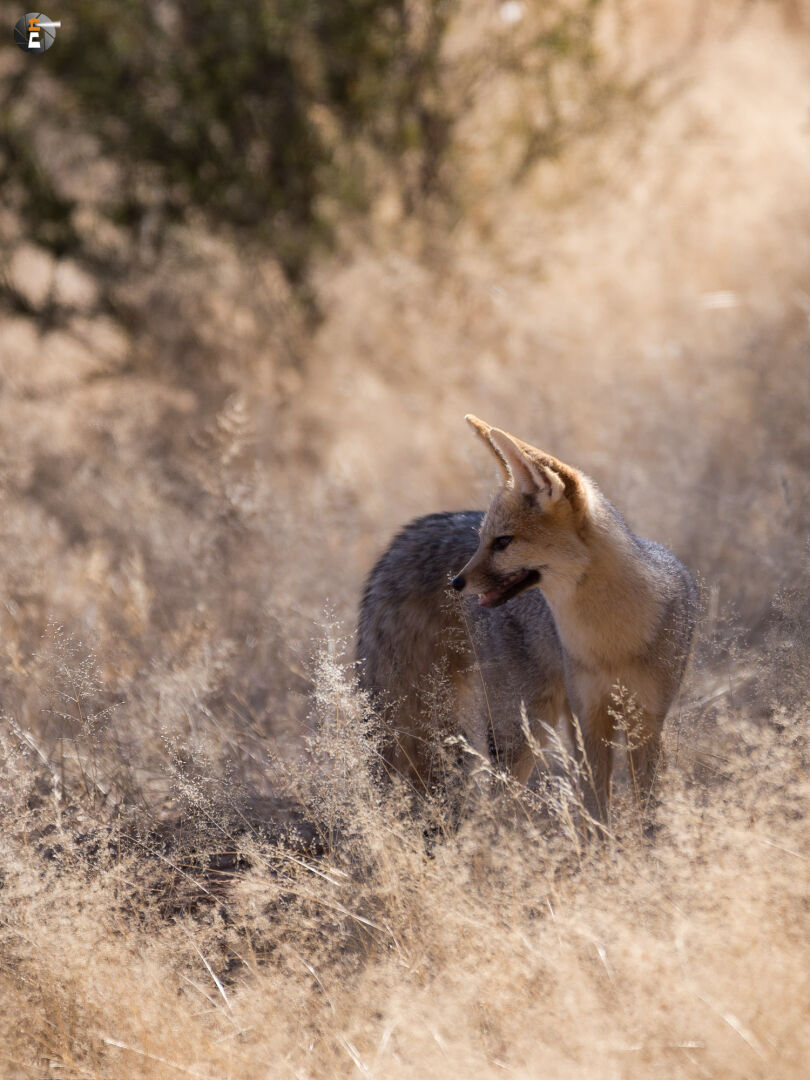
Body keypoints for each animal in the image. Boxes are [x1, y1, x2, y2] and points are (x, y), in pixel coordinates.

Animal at [356, 415, 697, 825]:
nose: (456, 583)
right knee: (495, 809)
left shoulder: (646, 721)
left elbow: (646, 813)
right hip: (521, 728)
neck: (611, 644)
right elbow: (597, 813)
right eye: (483, 541)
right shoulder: (590, 720)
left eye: (503, 542)